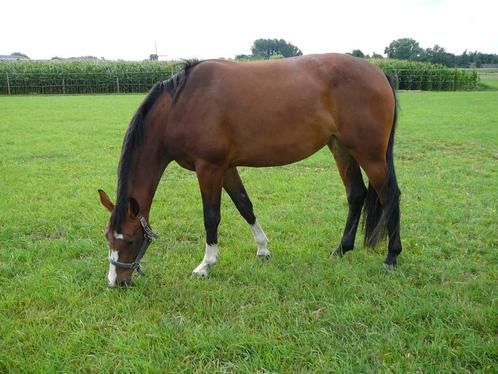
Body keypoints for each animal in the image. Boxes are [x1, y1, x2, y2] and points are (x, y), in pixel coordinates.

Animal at [97, 52, 400, 286]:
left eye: (130, 240)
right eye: (108, 237)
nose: (116, 282)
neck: (181, 106)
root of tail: (379, 72)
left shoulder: (209, 168)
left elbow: (211, 217)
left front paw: (206, 265)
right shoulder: (227, 168)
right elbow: (245, 206)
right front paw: (263, 250)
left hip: (370, 154)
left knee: (390, 196)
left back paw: (391, 257)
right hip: (341, 148)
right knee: (356, 195)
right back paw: (341, 250)